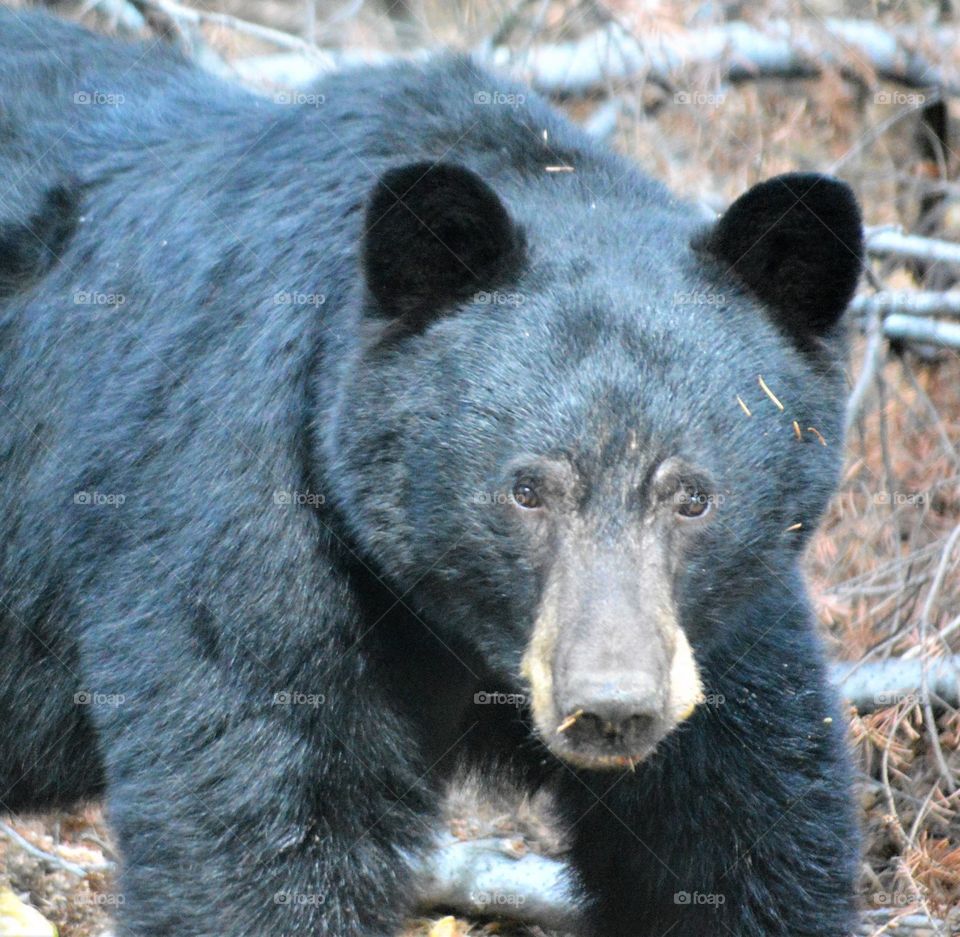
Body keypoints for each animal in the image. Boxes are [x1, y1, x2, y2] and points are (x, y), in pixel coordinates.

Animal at [0, 9, 864, 937]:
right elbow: (260, 824)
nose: (612, 706)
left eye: (693, 497)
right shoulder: (244, 512)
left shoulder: (709, 628)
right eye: (527, 488)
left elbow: (740, 826)